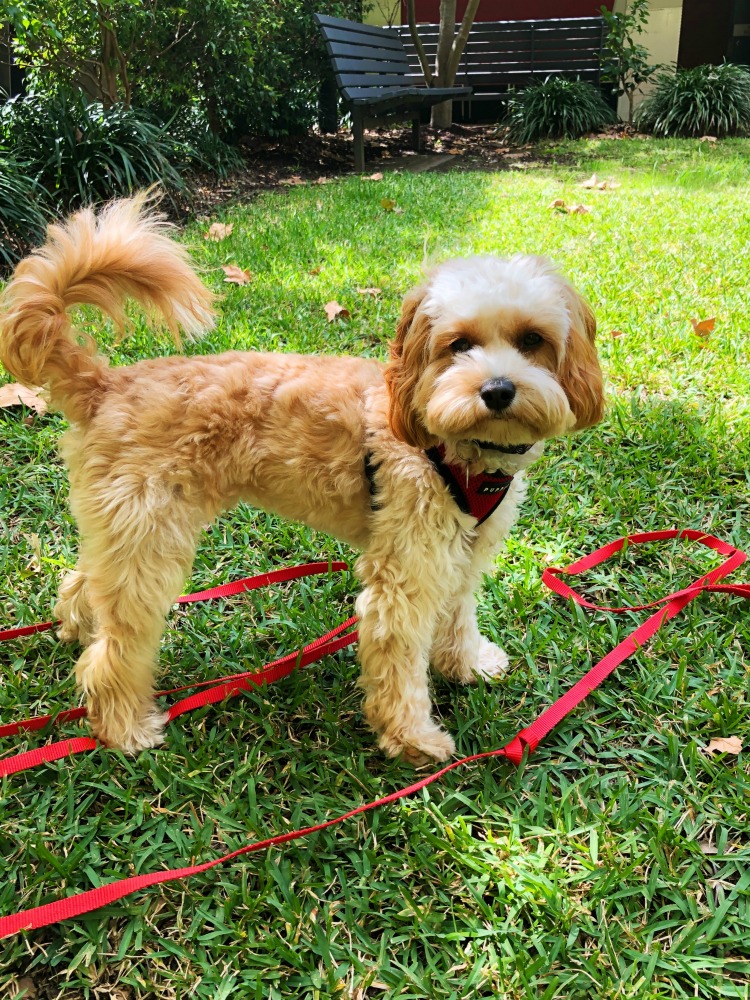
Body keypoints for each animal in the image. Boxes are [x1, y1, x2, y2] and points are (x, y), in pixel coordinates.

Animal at [0, 195, 604, 760]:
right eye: (458, 344)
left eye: (532, 340)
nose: (497, 390)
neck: (452, 447)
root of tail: (105, 384)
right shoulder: (404, 573)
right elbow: (399, 661)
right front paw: (412, 738)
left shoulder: (461, 550)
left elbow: (458, 613)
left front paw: (466, 664)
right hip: (150, 540)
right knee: (115, 649)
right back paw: (123, 725)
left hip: (124, 528)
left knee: (84, 585)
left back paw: (75, 628)